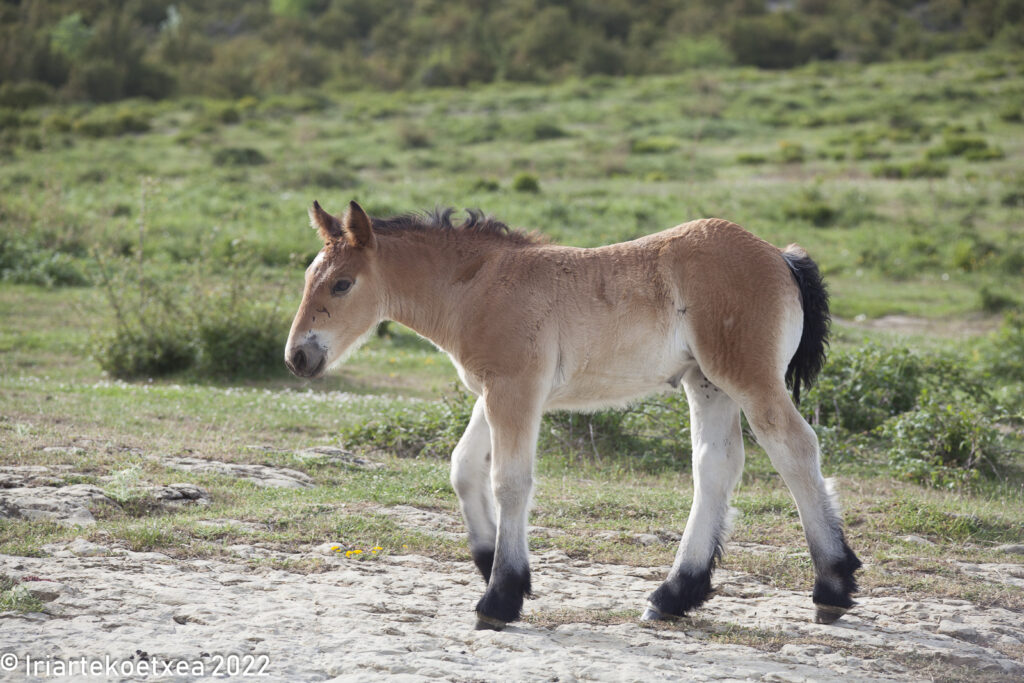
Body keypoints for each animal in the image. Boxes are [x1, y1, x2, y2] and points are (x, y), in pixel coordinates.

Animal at [284, 201, 860, 630]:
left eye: (341, 284)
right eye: (310, 276)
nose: (298, 357)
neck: (476, 287)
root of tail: (781, 256)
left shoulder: (514, 389)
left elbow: (510, 482)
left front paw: (500, 597)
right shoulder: (494, 392)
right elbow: (463, 467)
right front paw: (490, 562)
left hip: (747, 377)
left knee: (794, 448)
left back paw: (832, 587)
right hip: (707, 384)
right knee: (716, 467)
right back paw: (674, 595)